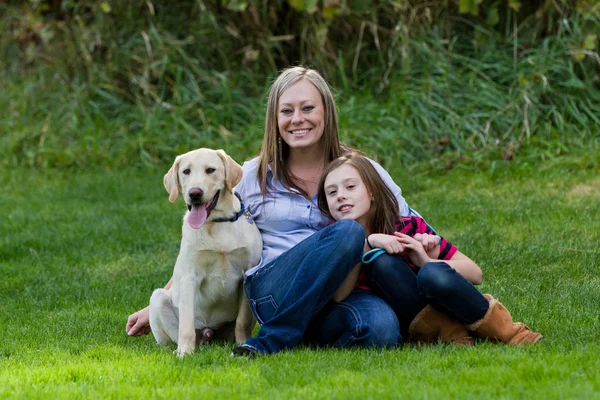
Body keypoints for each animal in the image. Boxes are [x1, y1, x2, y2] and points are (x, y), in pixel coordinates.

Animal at [149, 148, 262, 358]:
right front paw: (184, 354)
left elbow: (241, 322)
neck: (216, 223)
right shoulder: (189, 277)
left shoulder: (247, 274)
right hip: (158, 298)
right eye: (186, 171)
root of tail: (209, 334)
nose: (195, 193)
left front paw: (242, 345)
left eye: (210, 170)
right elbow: (186, 327)